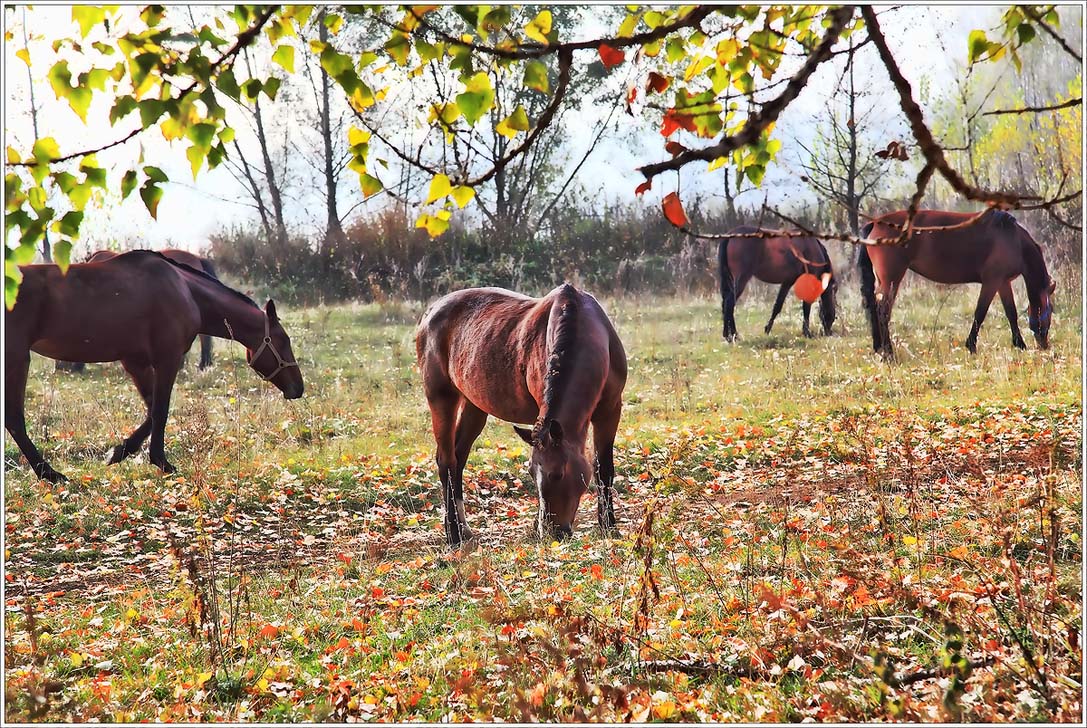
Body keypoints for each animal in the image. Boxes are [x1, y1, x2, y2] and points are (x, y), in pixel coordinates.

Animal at [413, 284, 630, 547]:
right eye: (531, 473)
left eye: (557, 474)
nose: (551, 533)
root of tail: (430, 312)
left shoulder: (610, 411)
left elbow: (603, 468)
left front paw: (609, 527)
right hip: (441, 398)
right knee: (447, 461)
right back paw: (454, 534)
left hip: (474, 405)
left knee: (458, 457)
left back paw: (463, 529)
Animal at [856, 208, 1052, 358]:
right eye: (1050, 311)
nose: (1044, 345)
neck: (1013, 238)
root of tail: (876, 223)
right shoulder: (992, 281)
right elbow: (980, 313)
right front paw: (971, 346)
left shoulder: (1003, 283)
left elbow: (1011, 313)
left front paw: (1020, 344)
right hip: (892, 279)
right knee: (883, 311)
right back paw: (888, 353)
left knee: (874, 308)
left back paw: (879, 348)